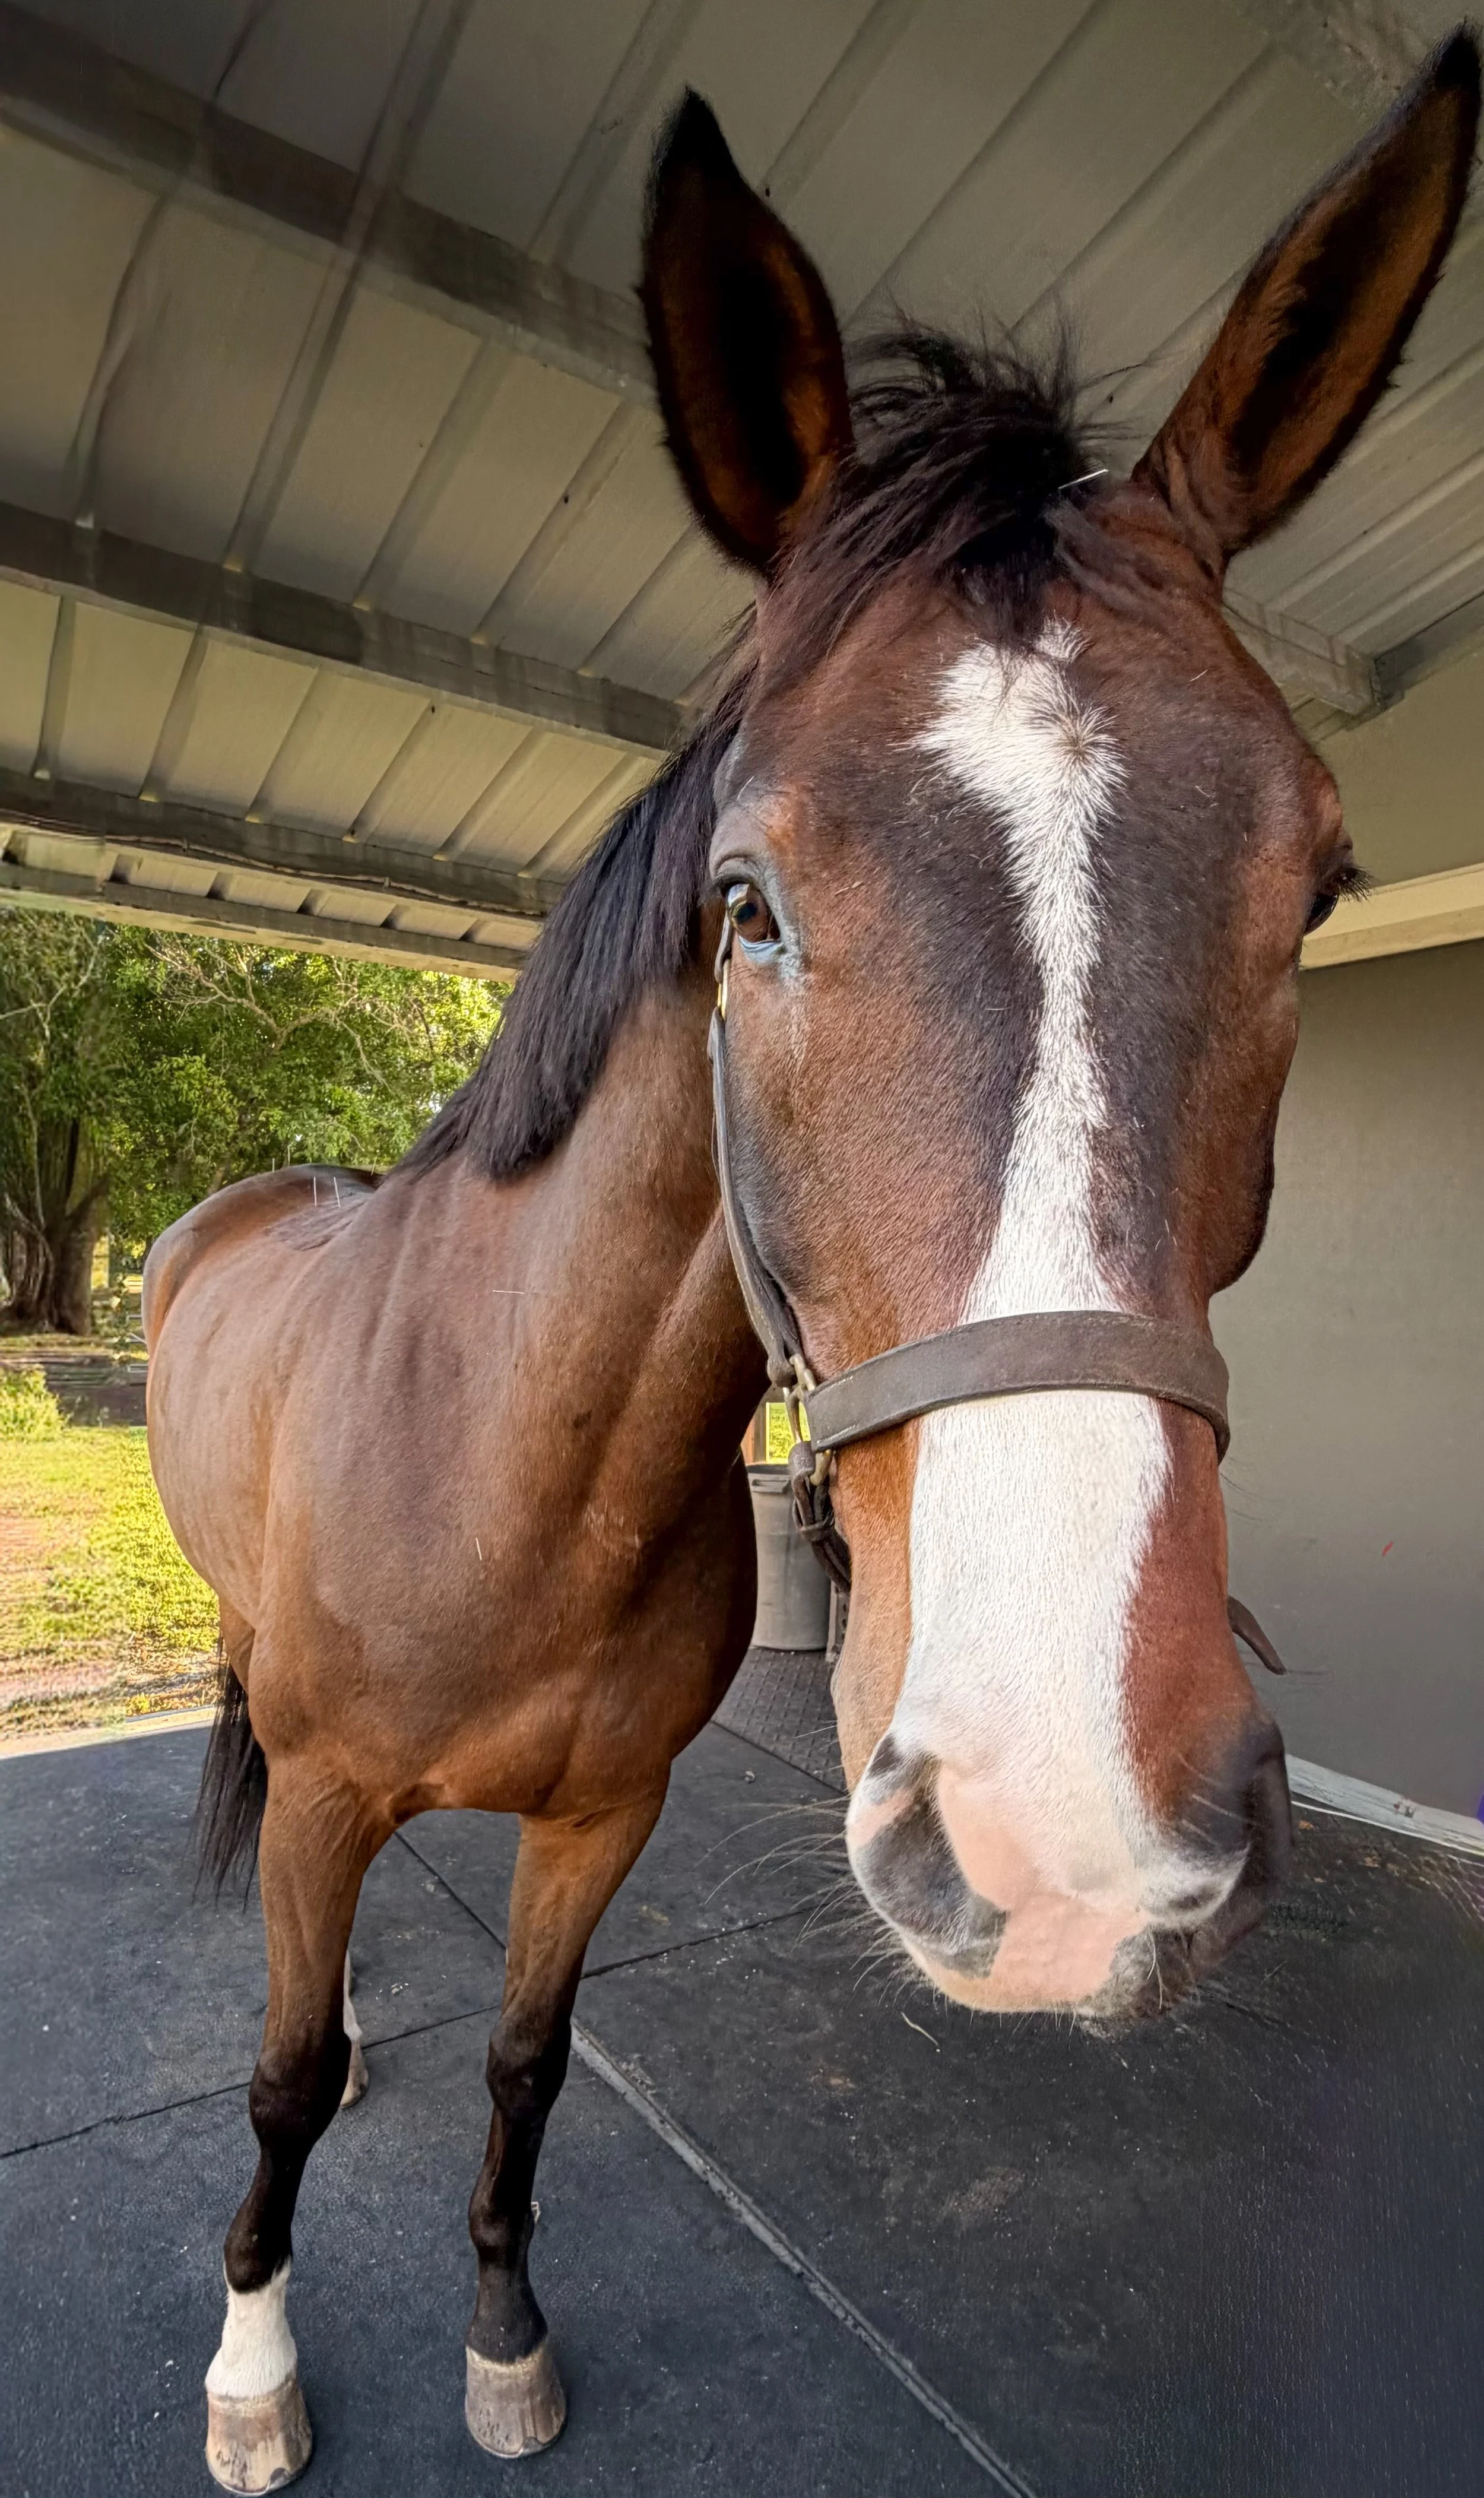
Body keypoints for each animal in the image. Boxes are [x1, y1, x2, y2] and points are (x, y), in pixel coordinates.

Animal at [143, 39, 1478, 2488]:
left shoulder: (605, 1819)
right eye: (745, 903)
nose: (1069, 1821)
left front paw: (505, 2336)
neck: (505, 1462)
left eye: (1318, 888)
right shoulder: (346, 1791)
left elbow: (531, 2065)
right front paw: (257, 2368)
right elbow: (274, 2080)